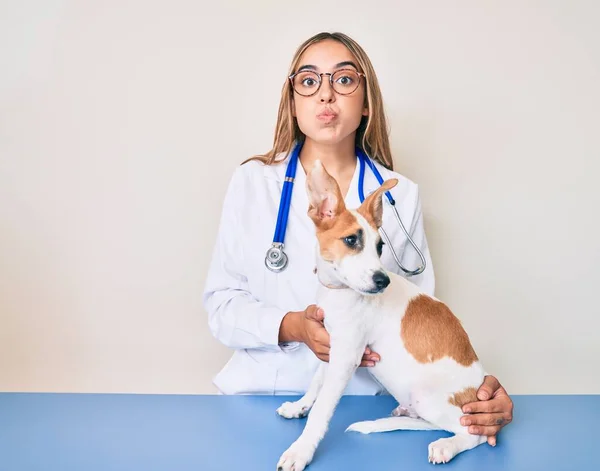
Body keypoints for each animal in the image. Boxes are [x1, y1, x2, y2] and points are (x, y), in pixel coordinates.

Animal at [276, 160, 488, 470]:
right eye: (351, 240)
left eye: (380, 246)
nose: (382, 281)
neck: (340, 291)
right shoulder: (333, 347)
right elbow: (316, 382)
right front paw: (298, 406)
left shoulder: (347, 357)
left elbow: (322, 410)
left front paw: (300, 450)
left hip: (429, 398)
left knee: (472, 432)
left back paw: (446, 446)